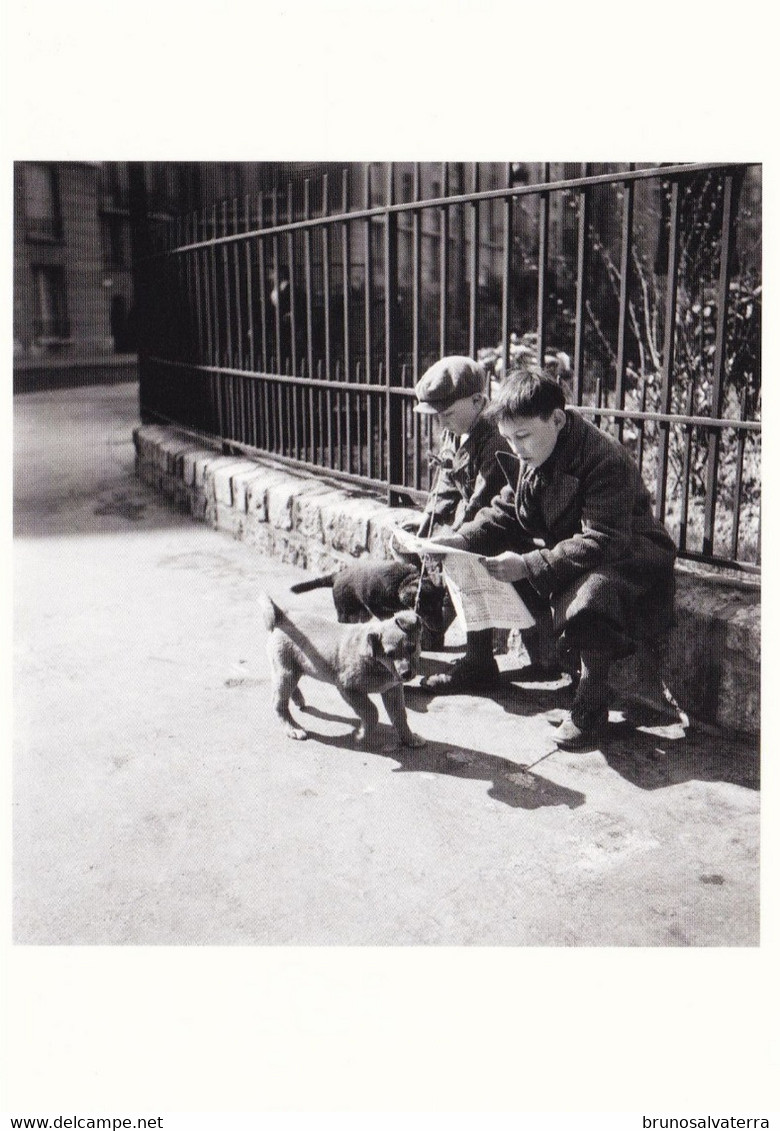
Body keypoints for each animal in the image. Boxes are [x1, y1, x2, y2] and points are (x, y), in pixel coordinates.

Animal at [257, 592, 422, 750]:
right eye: (389, 655)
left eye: (412, 648)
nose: (406, 674)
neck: (375, 661)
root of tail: (283, 616)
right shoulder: (348, 689)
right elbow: (372, 712)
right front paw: (361, 735)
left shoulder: (392, 690)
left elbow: (400, 717)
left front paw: (409, 738)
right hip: (286, 672)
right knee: (279, 703)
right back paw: (293, 728)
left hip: (292, 670)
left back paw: (298, 700)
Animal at [288, 558, 443, 637]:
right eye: (428, 608)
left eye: (439, 606)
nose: (439, 629)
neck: (403, 580)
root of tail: (336, 576)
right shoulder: (372, 603)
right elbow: (384, 615)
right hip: (344, 612)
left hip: (361, 614)